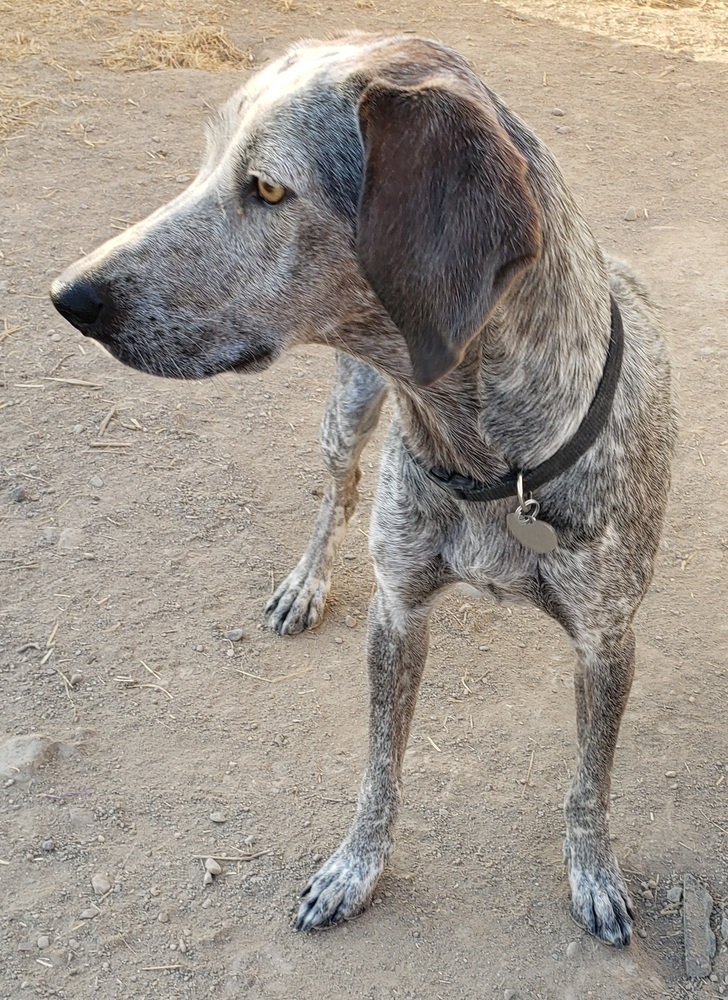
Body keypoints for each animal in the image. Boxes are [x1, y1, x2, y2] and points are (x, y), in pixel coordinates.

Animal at [51, 35, 676, 948]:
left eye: (269, 187)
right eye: (207, 161)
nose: (66, 295)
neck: (490, 458)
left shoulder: (608, 644)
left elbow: (588, 786)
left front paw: (593, 874)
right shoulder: (399, 610)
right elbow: (380, 768)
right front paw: (355, 868)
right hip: (346, 415)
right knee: (336, 495)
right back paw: (304, 584)